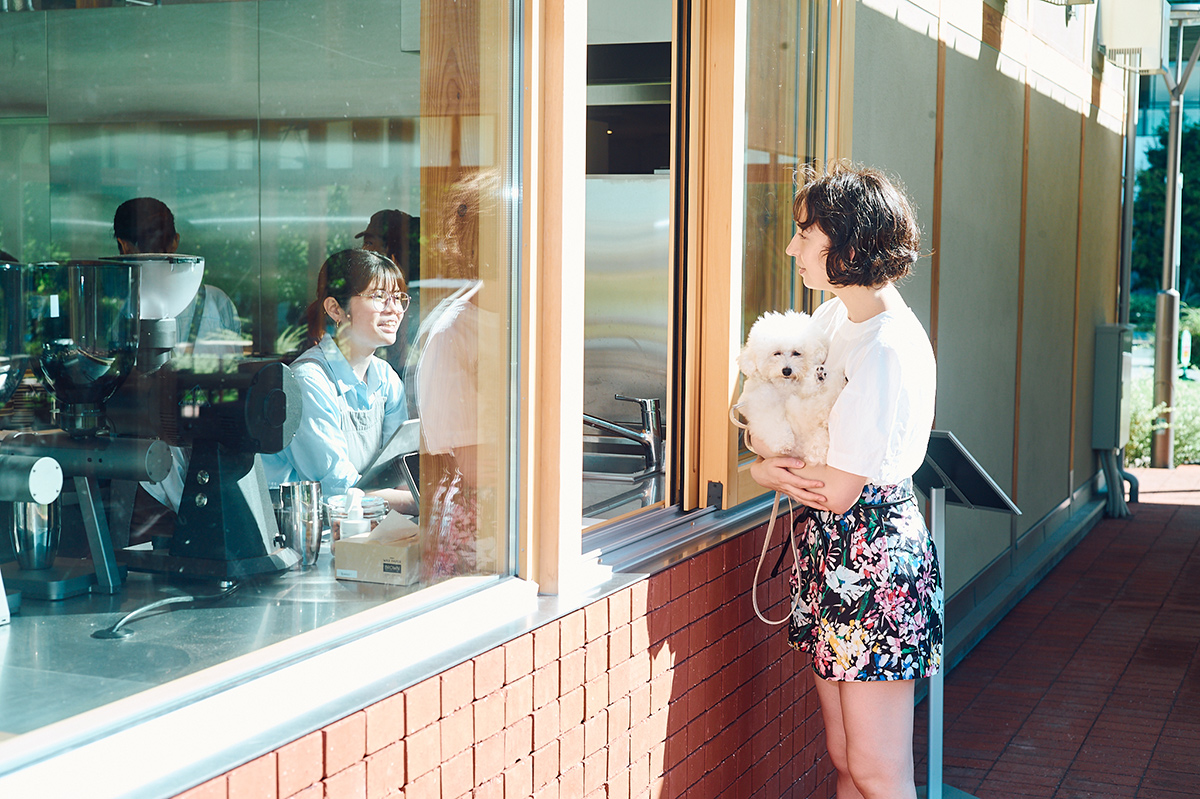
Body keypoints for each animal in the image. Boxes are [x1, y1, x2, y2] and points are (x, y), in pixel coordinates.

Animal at [729, 309, 844, 463]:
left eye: (796, 353)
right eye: (776, 353)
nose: (787, 370)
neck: (783, 387)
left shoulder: (801, 393)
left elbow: (807, 389)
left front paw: (816, 376)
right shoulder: (761, 406)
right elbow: (774, 422)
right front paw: (783, 442)